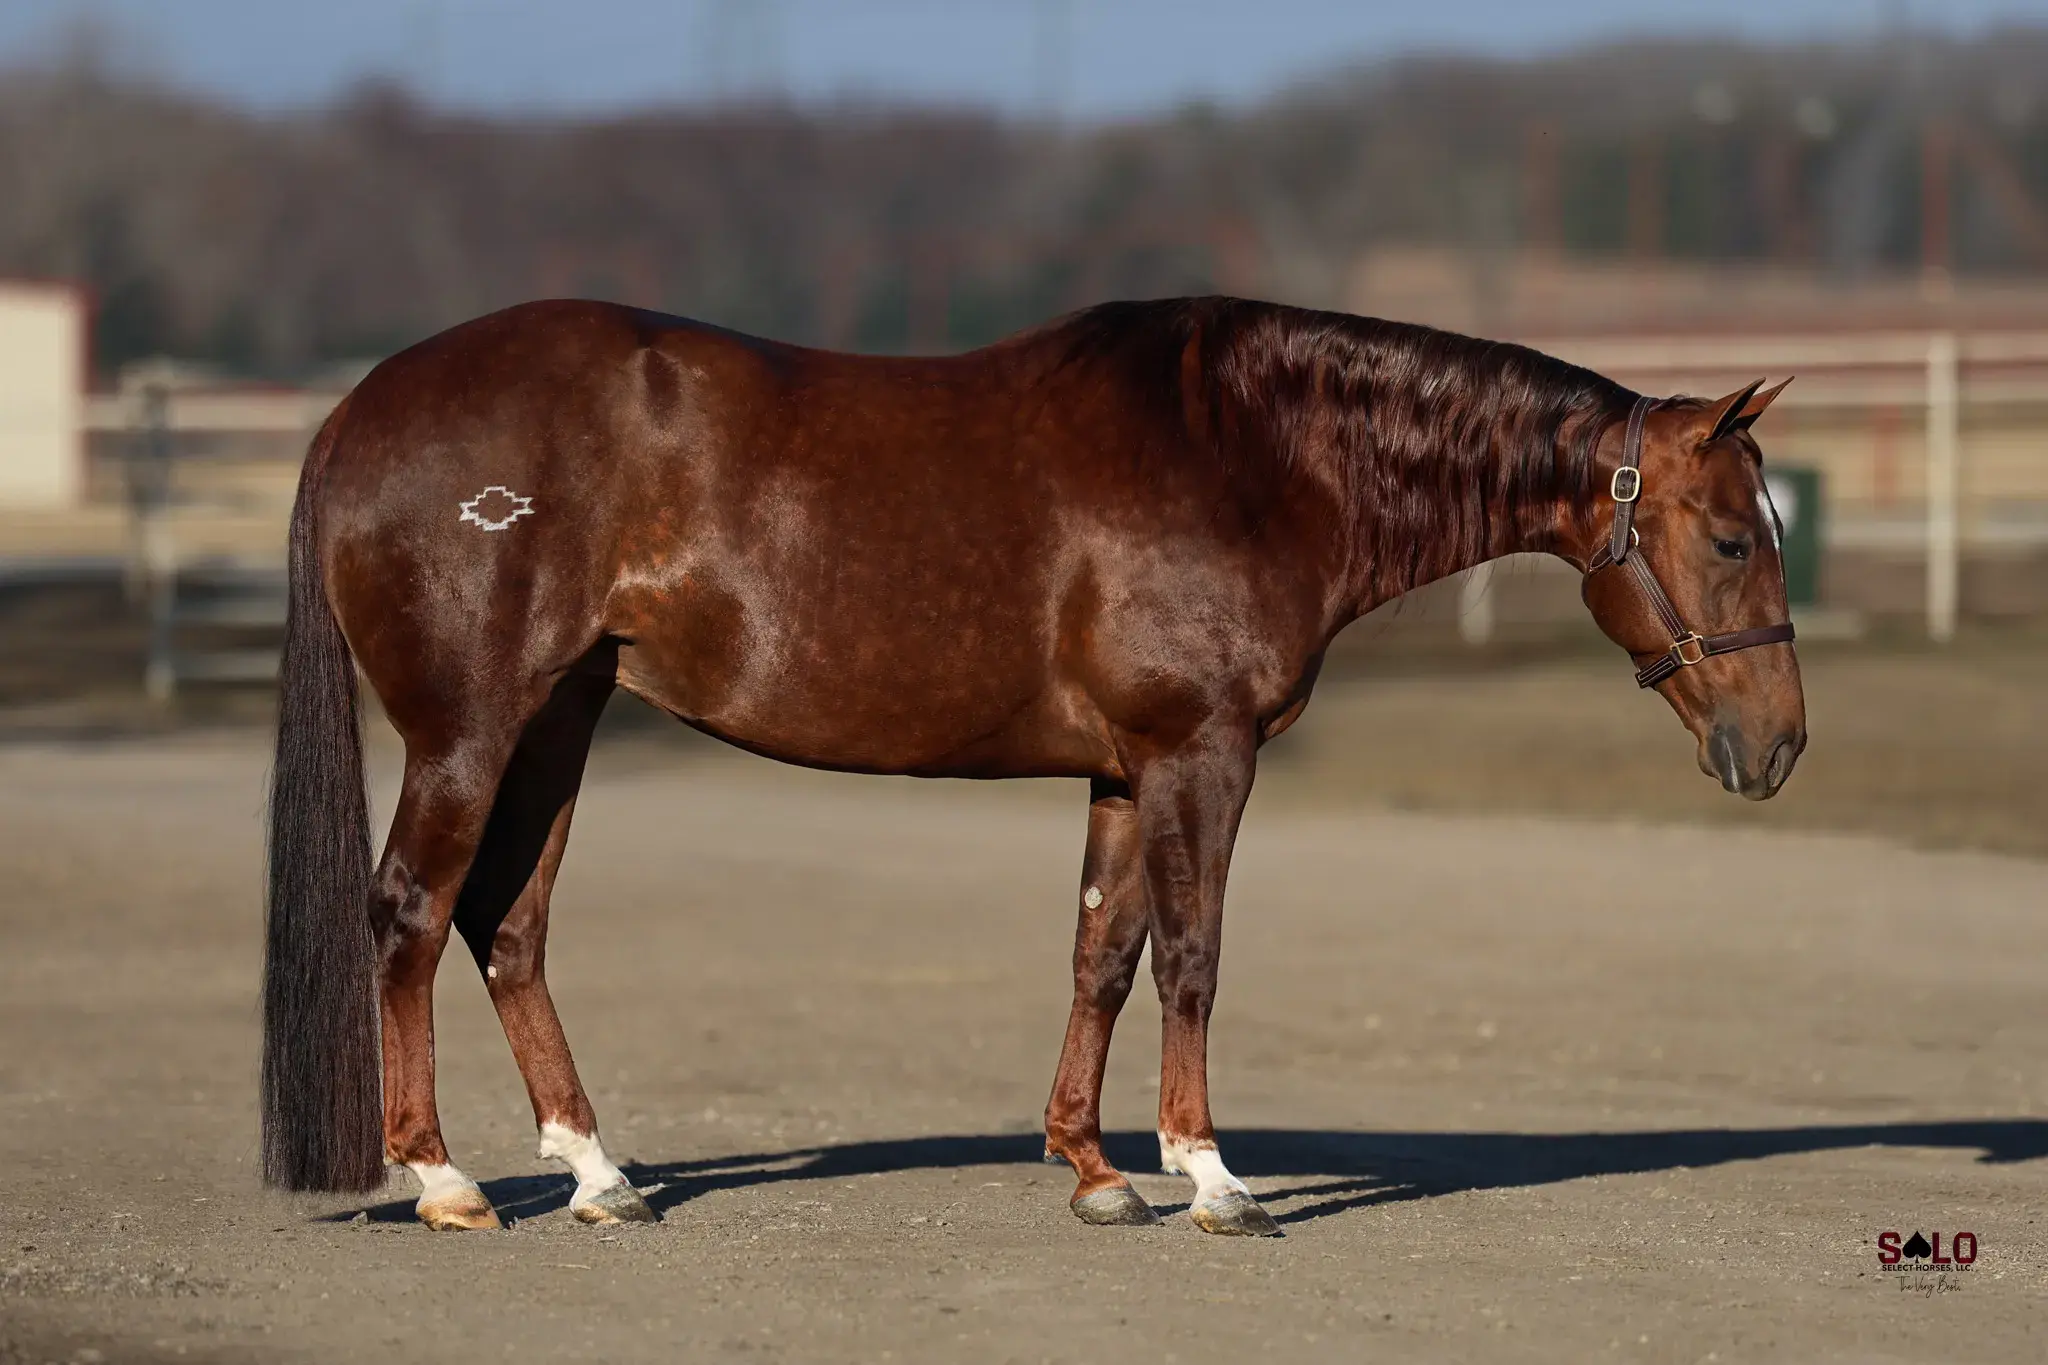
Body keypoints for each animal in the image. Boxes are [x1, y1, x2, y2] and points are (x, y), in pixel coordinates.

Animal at [261, 296, 1803, 1237]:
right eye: (1733, 537)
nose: (1779, 744)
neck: (1259, 459)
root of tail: (358, 412)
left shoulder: (1126, 771)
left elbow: (1102, 957)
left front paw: (1095, 1168)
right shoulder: (1200, 756)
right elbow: (1192, 957)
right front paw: (1212, 1175)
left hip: (562, 721)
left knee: (506, 925)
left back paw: (597, 1173)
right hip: (472, 729)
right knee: (411, 914)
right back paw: (446, 1178)